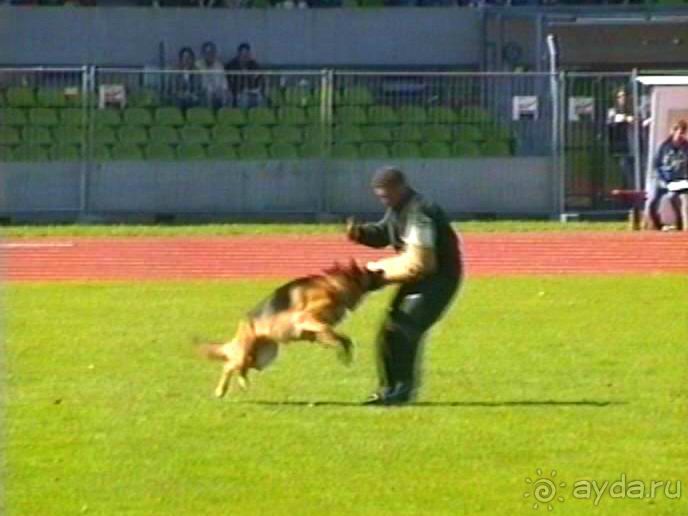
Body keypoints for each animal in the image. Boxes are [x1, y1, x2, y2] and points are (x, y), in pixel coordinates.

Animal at [202, 260, 384, 398]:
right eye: (369, 271)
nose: (382, 269)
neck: (334, 286)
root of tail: (244, 322)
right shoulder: (305, 318)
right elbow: (331, 332)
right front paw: (340, 348)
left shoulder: (315, 331)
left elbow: (341, 338)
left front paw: (343, 351)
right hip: (247, 355)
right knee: (229, 366)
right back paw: (220, 391)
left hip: (263, 357)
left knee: (242, 368)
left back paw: (243, 383)